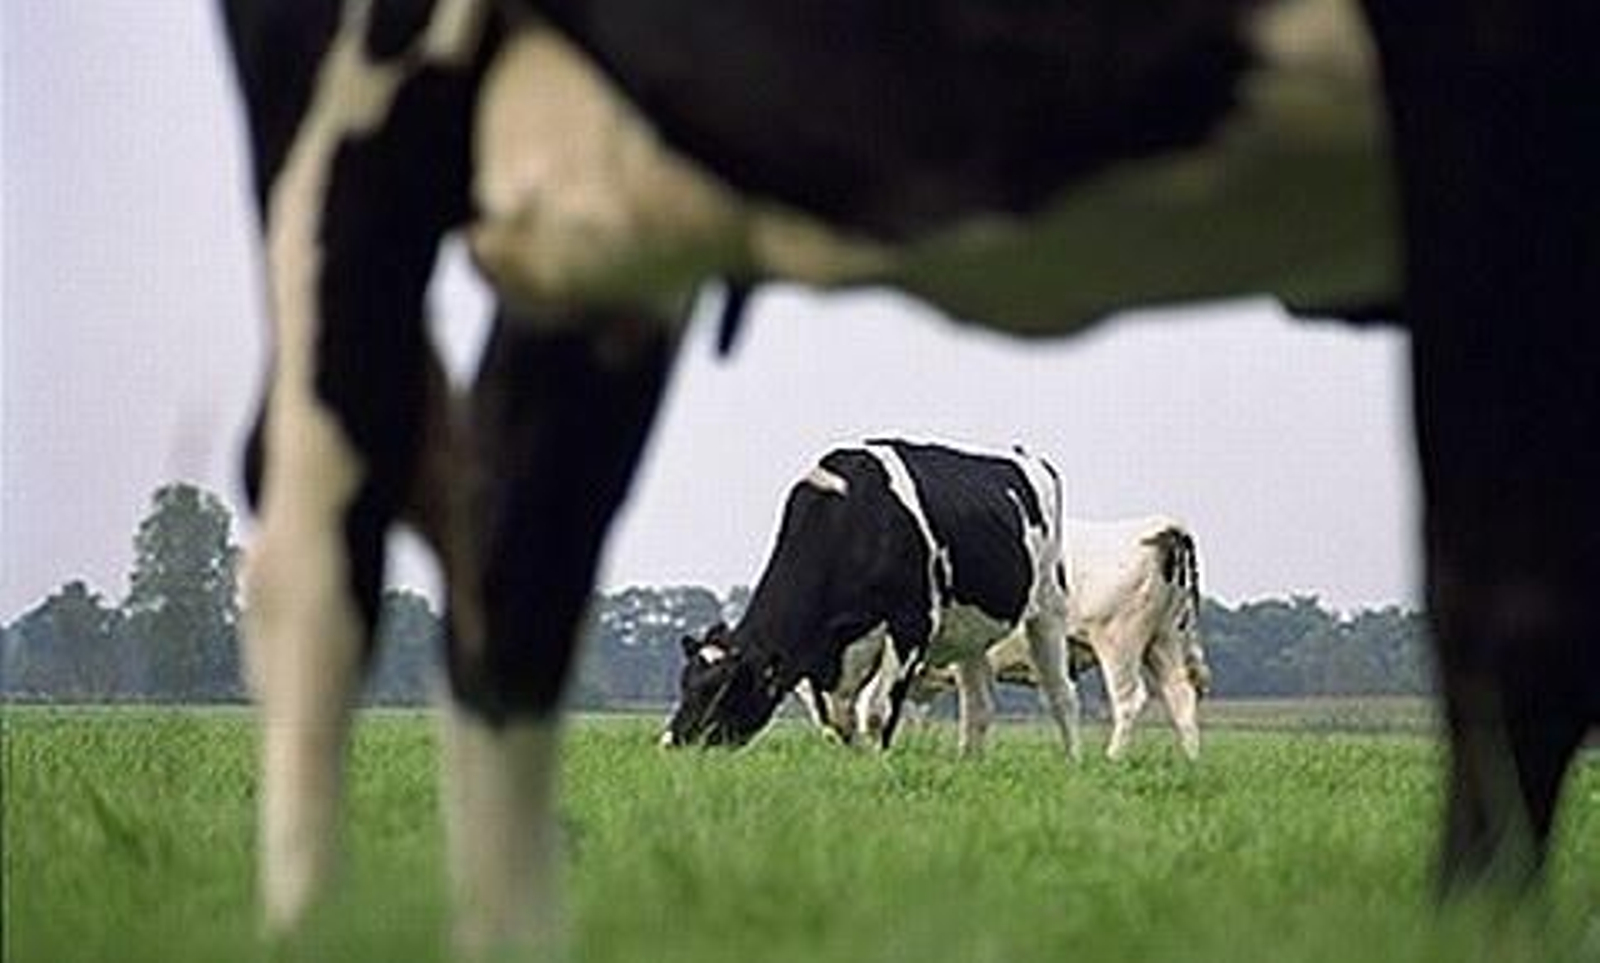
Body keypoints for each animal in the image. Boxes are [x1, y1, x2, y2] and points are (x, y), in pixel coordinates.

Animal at [661, 439, 1082, 759]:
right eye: (685, 682)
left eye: (720, 688)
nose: (671, 743)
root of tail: (1028, 457)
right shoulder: (817, 662)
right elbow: (836, 723)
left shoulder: (912, 624)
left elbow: (876, 713)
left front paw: (878, 767)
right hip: (970, 629)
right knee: (978, 707)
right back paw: (969, 764)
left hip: (1049, 604)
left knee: (1061, 694)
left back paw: (1072, 763)